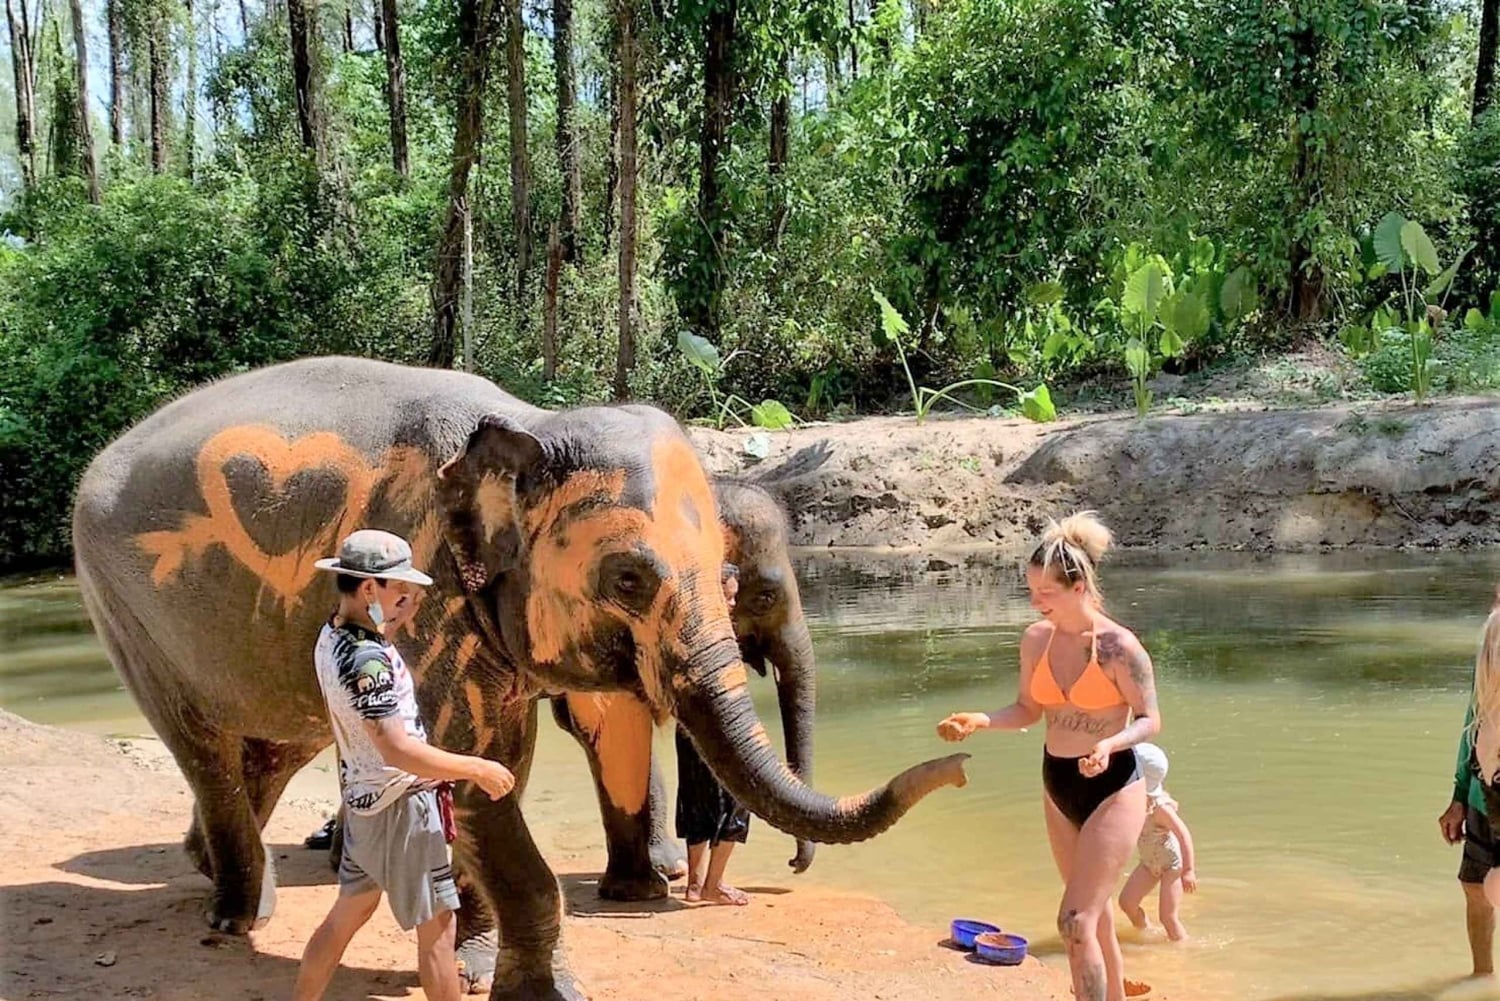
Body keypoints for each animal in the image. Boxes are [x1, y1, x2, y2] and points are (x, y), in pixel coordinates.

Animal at [71, 356, 969, 1001]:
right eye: (629, 579)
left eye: (727, 577)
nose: (958, 758)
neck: (529, 427)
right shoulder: (426, 582)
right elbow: (474, 771)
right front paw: (552, 992)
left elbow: (535, 750)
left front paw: (479, 961)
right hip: (118, 602)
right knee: (204, 745)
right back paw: (234, 919)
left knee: (272, 744)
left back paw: (213, 873)